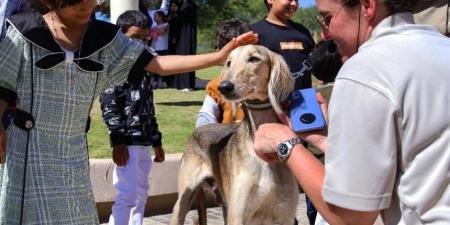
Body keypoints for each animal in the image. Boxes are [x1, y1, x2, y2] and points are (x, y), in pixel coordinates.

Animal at [171, 45, 298, 225]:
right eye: (229, 62)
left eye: (254, 58)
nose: (224, 86)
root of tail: (198, 129)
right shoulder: (237, 215)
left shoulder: (284, 216)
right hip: (184, 199)